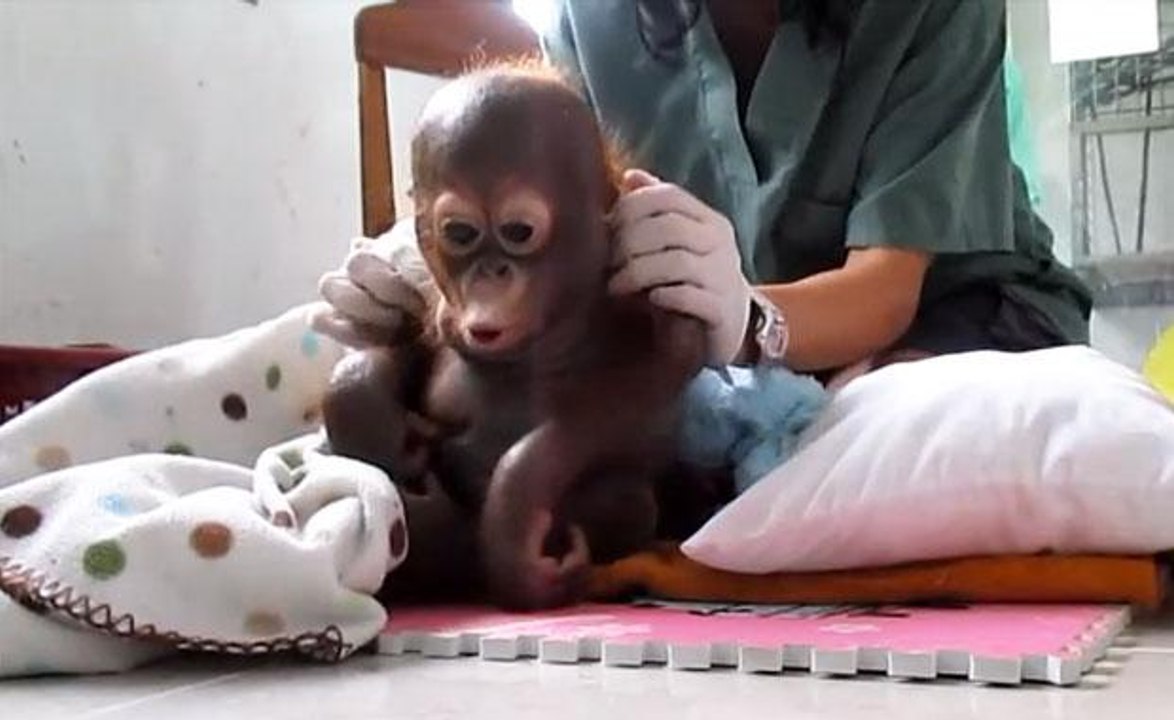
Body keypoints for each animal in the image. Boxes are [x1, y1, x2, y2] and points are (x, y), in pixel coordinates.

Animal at [321, 62, 731, 611]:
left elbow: (644, 387)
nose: (491, 274)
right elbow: (398, 344)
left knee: (629, 501)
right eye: (460, 233)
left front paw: (515, 518)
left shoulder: (648, 306)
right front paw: (366, 411)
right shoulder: (432, 302)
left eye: (518, 231)